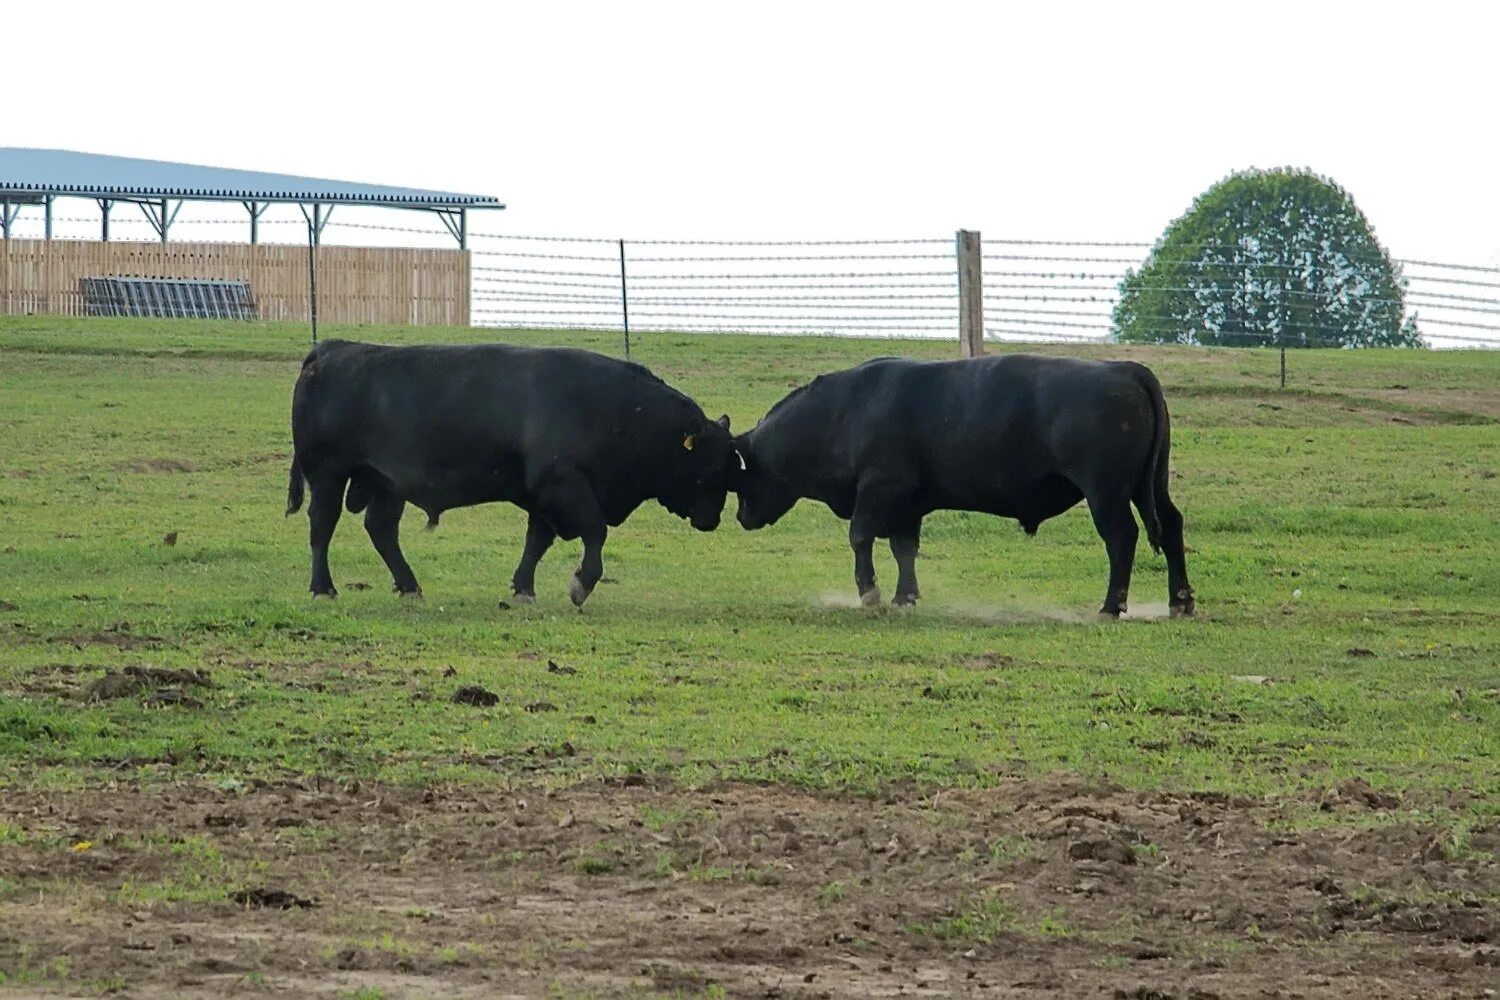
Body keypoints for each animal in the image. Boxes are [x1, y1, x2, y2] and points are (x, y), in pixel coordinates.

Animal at [283, 344, 741, 605]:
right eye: (711, 465)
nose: (713, 518)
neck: (615, 410)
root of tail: (331, 349)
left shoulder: (543, 498)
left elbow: (536, 542)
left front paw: (524, 589)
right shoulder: (564, 485)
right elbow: (594, 532)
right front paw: (581, 584)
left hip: (384, 484)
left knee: (381, 530)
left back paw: (409, 585)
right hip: (328, 476)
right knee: (322, 526)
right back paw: (323, 588)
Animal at [726, 352, 1194, 617]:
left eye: (742, 473)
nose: (741, 517)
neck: (845, 409)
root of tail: (1124, 369)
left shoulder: (881, 489)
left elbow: (860, 537)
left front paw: (870, 594)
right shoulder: (907, 504)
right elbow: (905, 549)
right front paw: (905, 597)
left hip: (1107, 492)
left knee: (1122, 537)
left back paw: (1112, 605)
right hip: (1151, 487)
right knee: (1172, 526)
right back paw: (1181, 601)